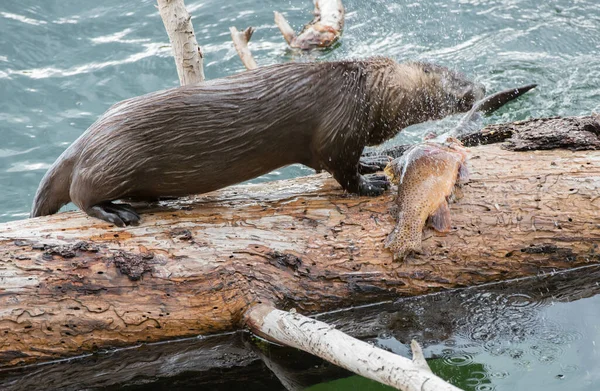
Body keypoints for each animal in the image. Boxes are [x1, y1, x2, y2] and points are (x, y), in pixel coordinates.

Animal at [30, 57, 486, 227]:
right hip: (115, 158)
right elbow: (339, 168)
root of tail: (84, 140)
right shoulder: (340, 127)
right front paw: (370, 184)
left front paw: (374, 163)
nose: (480, 87)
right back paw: (117, 213)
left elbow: (351, 160)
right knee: (82, 194)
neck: (367, 92)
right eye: (455, 81)